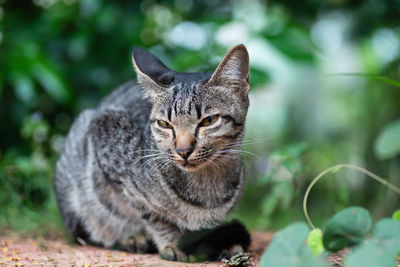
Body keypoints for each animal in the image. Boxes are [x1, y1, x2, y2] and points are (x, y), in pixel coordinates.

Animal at [54, 44, 250, 262]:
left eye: (209, 121)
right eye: (164, 124)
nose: (183, 150)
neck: (205, 183)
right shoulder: (106, 137)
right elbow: (152, 215)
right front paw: (172, 243)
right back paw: (132, 238)